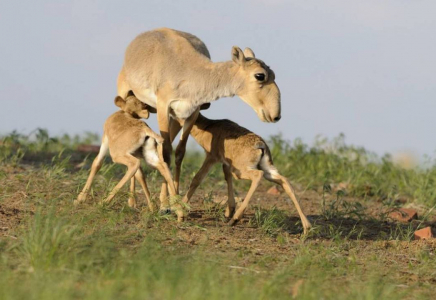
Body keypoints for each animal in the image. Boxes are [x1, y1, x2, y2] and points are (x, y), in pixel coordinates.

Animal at [116, 28, 280, 219]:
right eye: (260, 75)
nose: (276, 115)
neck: (191, 72)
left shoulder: (190, 113)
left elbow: (179, 153)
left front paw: (174, 204)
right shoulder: (164, 107)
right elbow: (165, 154)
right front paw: (167, 205)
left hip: (173, 117)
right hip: (127, 97)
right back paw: (132, 201)